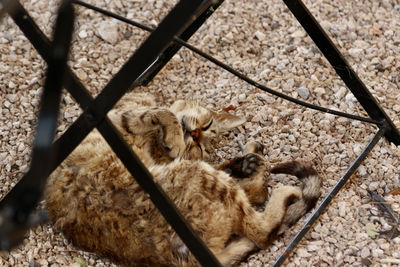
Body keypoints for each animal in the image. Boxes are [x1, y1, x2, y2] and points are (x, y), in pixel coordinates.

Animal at [44, 92, 322, 267]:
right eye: (207, 126)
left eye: (201, 143)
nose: (195, 134)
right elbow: (163, 112)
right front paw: (175, 134)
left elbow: (160, 113)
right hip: (200, 176)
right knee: (260, 221)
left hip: (198, 175)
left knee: (262, 227)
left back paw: (263, 172)